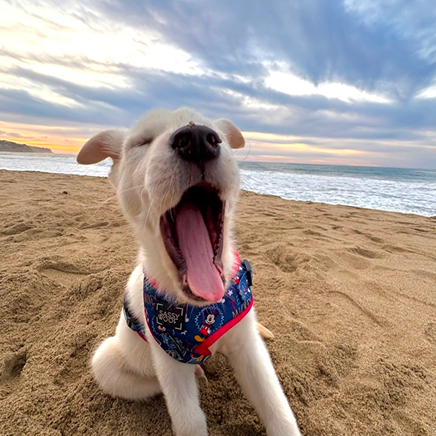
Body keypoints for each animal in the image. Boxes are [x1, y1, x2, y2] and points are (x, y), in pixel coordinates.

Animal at [77, 108, 301, 436]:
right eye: (142, 142)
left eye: (214, 133)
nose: (197, 139)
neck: (202, 310)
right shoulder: (168, 360)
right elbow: (189, 420)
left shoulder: (248, 348)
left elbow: (277, 407)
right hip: (107, 361)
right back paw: (198, 372)